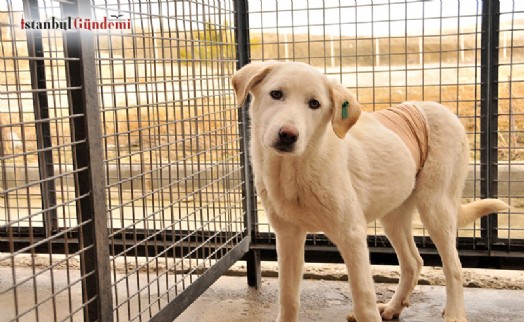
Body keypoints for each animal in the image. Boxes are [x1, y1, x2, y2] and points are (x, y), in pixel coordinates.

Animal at [232, 61, 508, 322]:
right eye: (276, 94)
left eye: (314, 104)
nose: (288, 135)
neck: (294, 169)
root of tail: (443, 109)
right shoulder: (288, 236)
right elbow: (288, 299)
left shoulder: (351, 235)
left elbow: (364, 302)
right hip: (394, 215)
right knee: (413, 262)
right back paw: (394, 307)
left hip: (436, 208)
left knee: (454, 267)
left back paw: (454, 313)